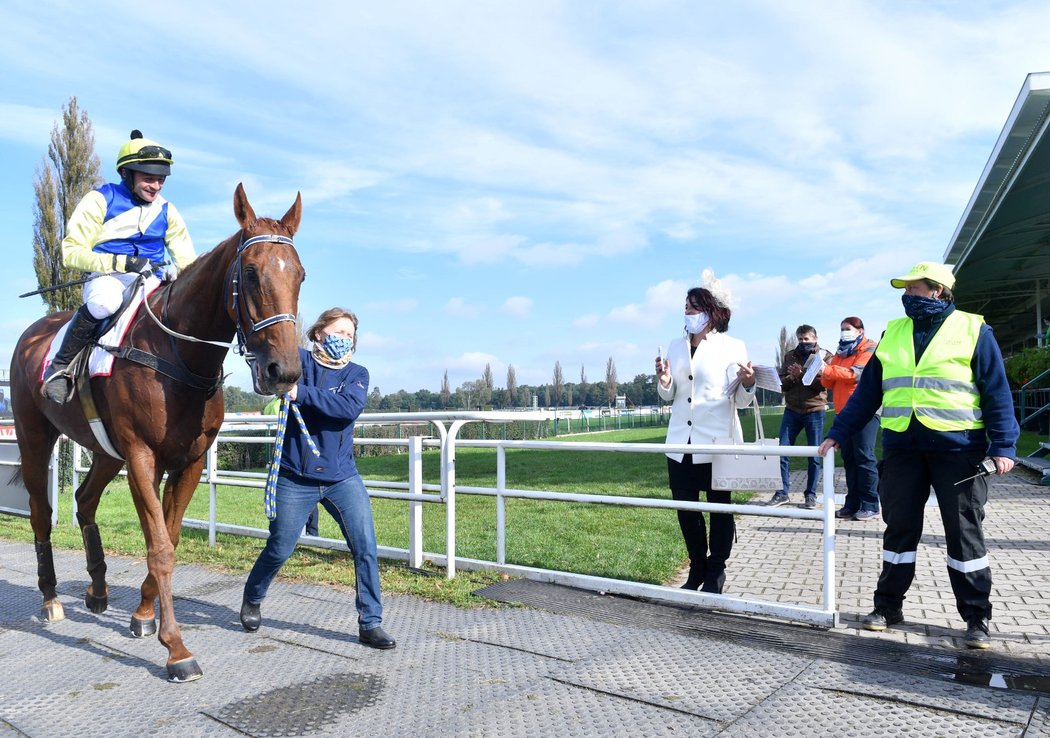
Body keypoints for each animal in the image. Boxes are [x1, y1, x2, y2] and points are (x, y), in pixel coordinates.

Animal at [9, 183, 304, 680]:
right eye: (250, 272)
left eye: (300, 275)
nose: (283, 371)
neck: (179, 355)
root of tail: (31, 334)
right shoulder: (142, 456)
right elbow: (160, 547)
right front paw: (176, 648)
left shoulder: (188, 461)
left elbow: (170, 535)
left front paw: (143, 615)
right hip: (35, 439)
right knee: (41, 513)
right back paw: (50, 598)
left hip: (104, 453)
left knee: (84, 499)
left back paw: (98, 590)